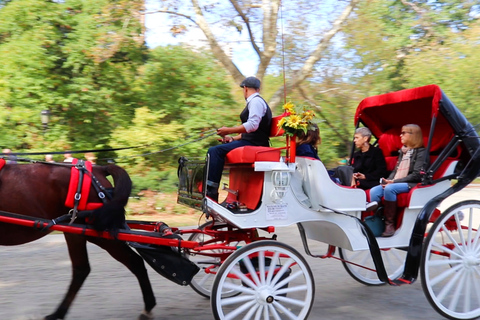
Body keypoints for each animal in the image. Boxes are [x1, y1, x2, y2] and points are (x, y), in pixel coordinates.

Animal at [0, 162, 156, 320]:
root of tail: (98, 169)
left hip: (99, 234)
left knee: (134, 261)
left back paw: (147, 308)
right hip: (76, 232)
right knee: (82, 269)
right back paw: (59, 313)